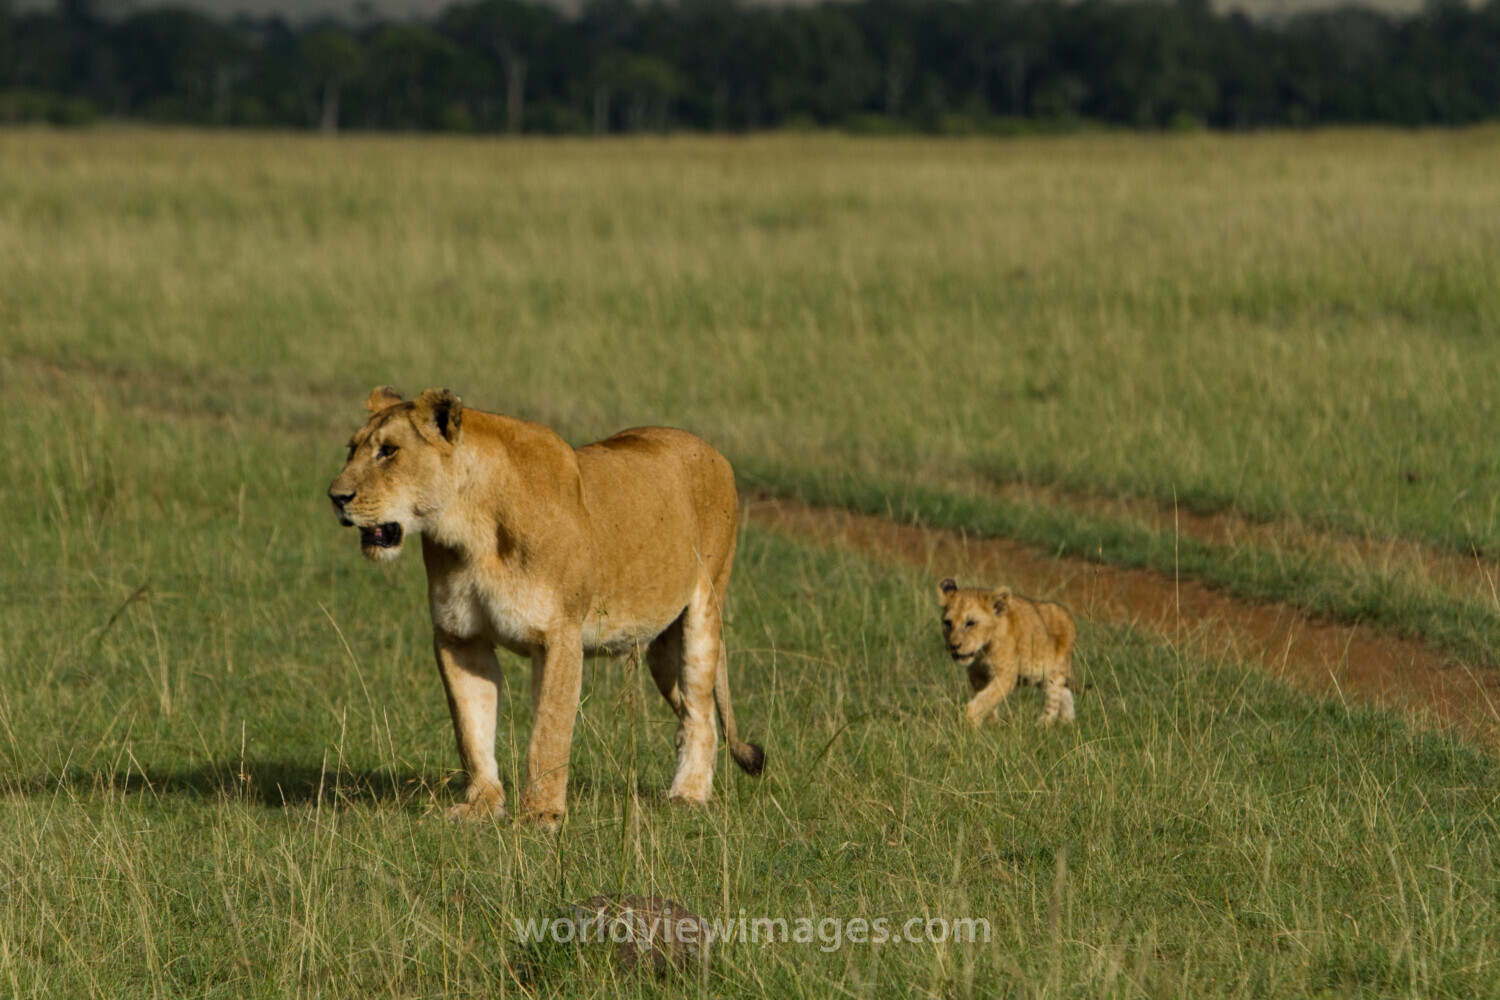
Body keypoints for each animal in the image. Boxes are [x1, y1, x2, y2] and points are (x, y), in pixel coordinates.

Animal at [327, 386, 764, 830]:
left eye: (389, 451)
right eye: (352, 449)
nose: (336, 498)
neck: (471, 529)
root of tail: (710, 450)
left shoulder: (560, 636)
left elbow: (549, 731)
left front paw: (541, 814)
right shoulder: (458, 637)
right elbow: (471, 727)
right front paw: (481, 806)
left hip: (705, 608)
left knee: (700, 712)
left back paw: (688, 795)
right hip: (661, 648)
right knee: (698, 710)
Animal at [937, 578, 1078, 727]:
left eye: (970, 623)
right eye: (947, 623)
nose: (953, 646)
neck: (982, 651)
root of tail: (1068, 616)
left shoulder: (1006, 675)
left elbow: (986, 698)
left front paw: (972, 720)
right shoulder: (977, 675)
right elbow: (987, 700)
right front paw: (992, 723)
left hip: (1054, 673)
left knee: (1053, 701)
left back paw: (1042, 725)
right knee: (1065, 694)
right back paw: (1067, 722)